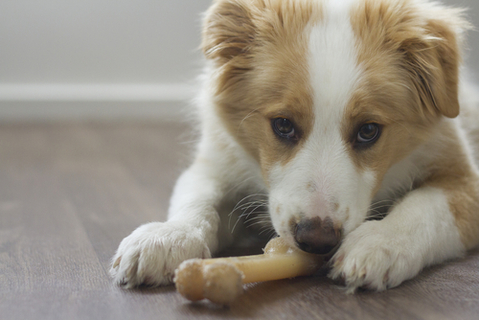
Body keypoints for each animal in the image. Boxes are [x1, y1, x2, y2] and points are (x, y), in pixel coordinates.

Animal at [110, 0, 479, 294]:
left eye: (368, 131)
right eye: (283, 125)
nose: (316, 240)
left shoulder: (463, 177)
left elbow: (425, 208)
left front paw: (380, 243)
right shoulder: (216, 161)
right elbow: (199, 196)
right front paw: (168, 237)